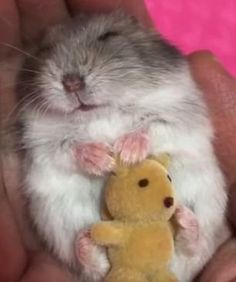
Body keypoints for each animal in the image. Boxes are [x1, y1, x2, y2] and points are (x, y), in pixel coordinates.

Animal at [16, 11, 230, 282]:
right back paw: (85, 243)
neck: (100, 114)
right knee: (93, 267)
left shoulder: (177, 115)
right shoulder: (43, 144)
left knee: (193, 248)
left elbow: (152, 126)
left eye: (108, 36)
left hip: (208, 207)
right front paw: (102, 159)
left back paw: (186, 222)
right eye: (46, 49)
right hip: (58, 225)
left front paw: (126, 152)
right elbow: (68, 148)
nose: (71, 82)